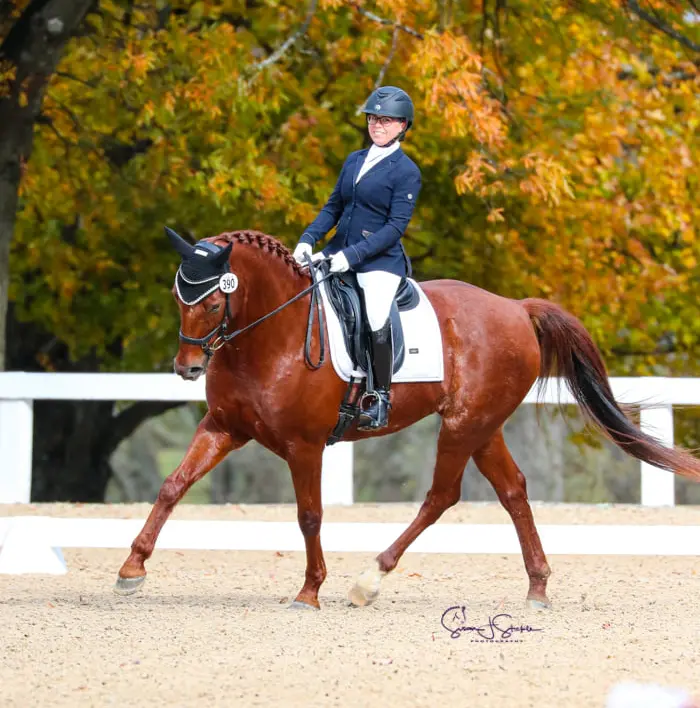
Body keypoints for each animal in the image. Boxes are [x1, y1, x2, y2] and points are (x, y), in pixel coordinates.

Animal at [115, 228, 700, 608]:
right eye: (178, 297)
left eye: (214, 304)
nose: (187, 368)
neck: (269, 335)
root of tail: (516, 307)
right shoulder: (224, 427)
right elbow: (173, 485)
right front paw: (132, 568)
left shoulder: (305, 445)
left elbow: (309, 516)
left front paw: (310, 590)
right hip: (482, 426)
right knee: (513, 491)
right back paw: (537, 588)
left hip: (463, 425)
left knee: (442, 496)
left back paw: (369, 579)